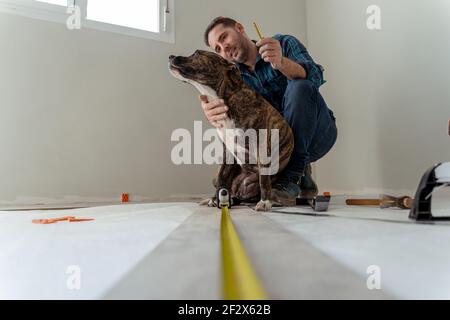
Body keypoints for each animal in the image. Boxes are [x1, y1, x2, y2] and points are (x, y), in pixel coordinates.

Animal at [169, 50, 296, 211]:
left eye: (196, 54)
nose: (170, 56)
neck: (224, 98)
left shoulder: (262, 148)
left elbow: (264, 181)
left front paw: (265, 202)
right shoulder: (227, 152)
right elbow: (222, 177)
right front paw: (216, 199)